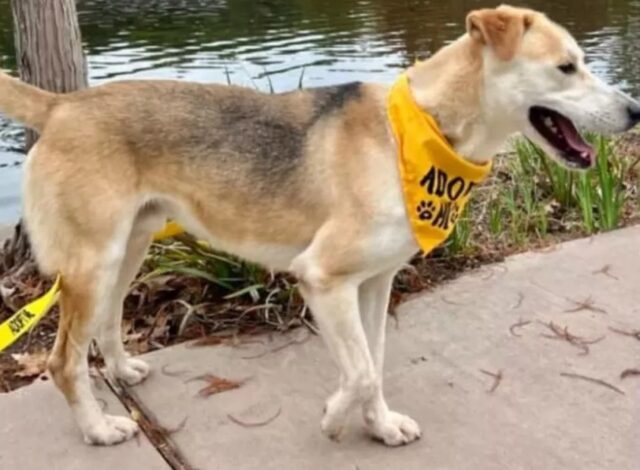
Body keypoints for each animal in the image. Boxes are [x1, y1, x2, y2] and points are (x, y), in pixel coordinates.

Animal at [1, 5, 640, 446]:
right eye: (566, 67)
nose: (635, 111)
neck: (418, 131)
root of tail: (61, 105)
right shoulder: (323, 279)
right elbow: (358, 372)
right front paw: (336, 417)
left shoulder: (375, 284)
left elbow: (372, 366)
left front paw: (379, 427)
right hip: (93, 262)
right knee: (62, 361)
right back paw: (98, 429)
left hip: (127, 248)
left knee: (108, 322)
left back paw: (123, 372)